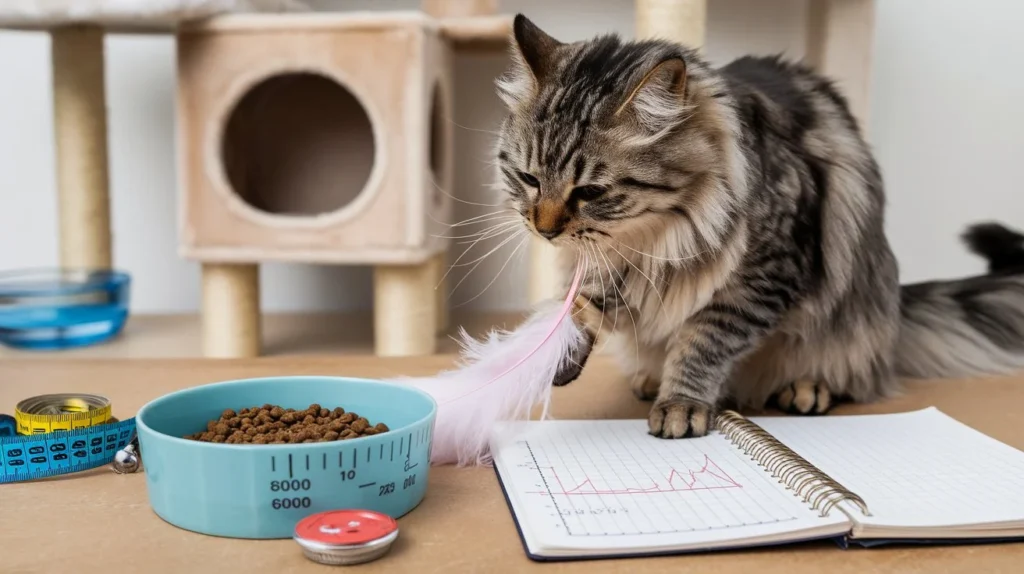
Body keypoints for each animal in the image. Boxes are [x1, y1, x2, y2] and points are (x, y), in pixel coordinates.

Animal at [491, 14, 1024, 437]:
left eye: (589, 192)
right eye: (529, 179)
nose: (544, 230)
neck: (656, 234)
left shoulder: (767, 272)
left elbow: (703, 339)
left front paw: (681, 403)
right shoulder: (613, 266)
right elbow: (584, 304)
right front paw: (556, 351)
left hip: (856, 312)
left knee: (853, 370)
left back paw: (807, 388)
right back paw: (647, 376)